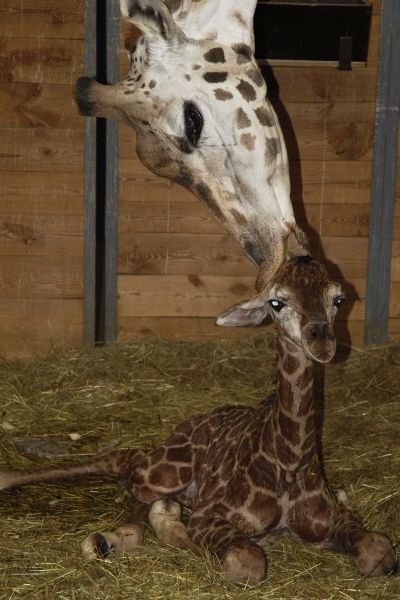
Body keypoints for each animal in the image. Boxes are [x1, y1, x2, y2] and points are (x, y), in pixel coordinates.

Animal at [0, 255, 396, 584]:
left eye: (338, 299)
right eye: (277, 302)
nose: (322, 342)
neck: (289, 461)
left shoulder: (331, 522)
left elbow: (378, 551)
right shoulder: (211, 515)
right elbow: (244, 563)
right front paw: (167, 524)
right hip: (165, 470)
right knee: (127, 468)